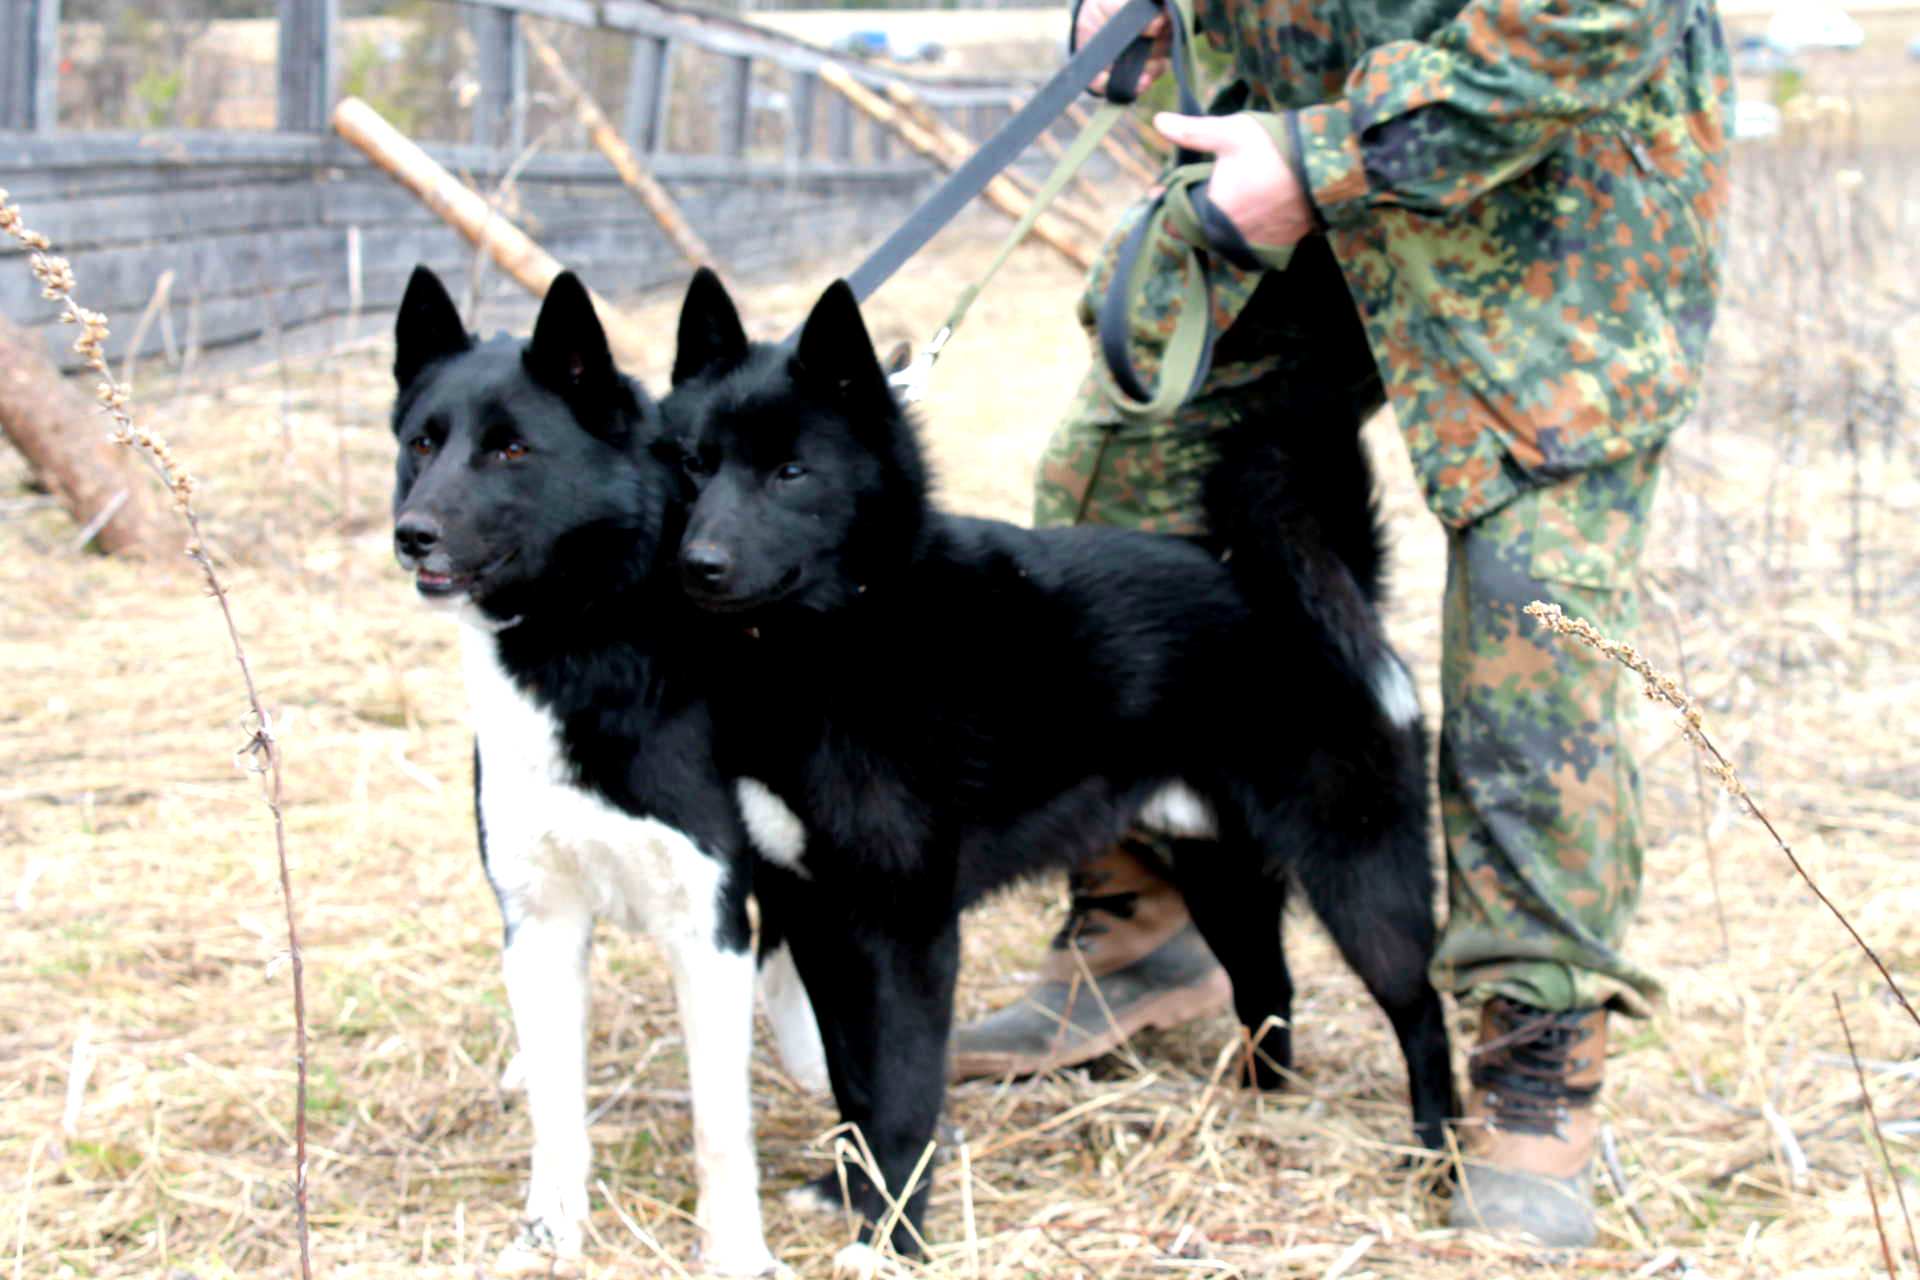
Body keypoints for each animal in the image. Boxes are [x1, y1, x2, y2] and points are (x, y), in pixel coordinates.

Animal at [385, 264, 821, 1274]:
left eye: (511, 450)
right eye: (423, 443)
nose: (411, 534)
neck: (581, 642)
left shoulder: (707, 920)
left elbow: (719, 1122)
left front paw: (735, 1250)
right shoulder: (538, 920)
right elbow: (558, 1111)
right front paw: (550, 1231)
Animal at [660, 272, 1451, 1274]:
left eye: (791, 473)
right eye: (693, 463)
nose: (698, 566)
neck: (842, 642)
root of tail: (1321, 581)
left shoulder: (903, 932)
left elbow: (901, 1096)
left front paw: (894, 1236)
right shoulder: (815, 914)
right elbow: (852, 1084)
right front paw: (848, 1195)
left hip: (1362, 879)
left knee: (1421, 1011)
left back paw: (1440, 1163)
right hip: (1220, 875)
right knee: (1269, 988)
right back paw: (1253, 1105)